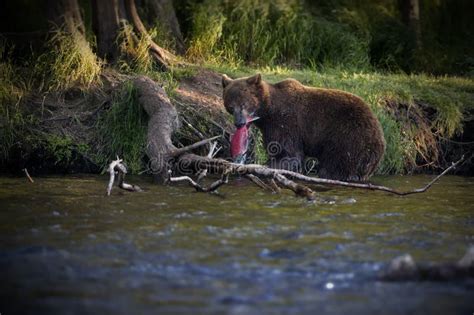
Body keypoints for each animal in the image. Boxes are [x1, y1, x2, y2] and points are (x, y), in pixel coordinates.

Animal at [222, 73, 386, 181]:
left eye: (244, 104)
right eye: (230, 106)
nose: (239, 123)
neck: (268, 111)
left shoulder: (286, 121)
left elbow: (288, 153)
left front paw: (267, 165)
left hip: (348, 137)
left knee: (336, 165)